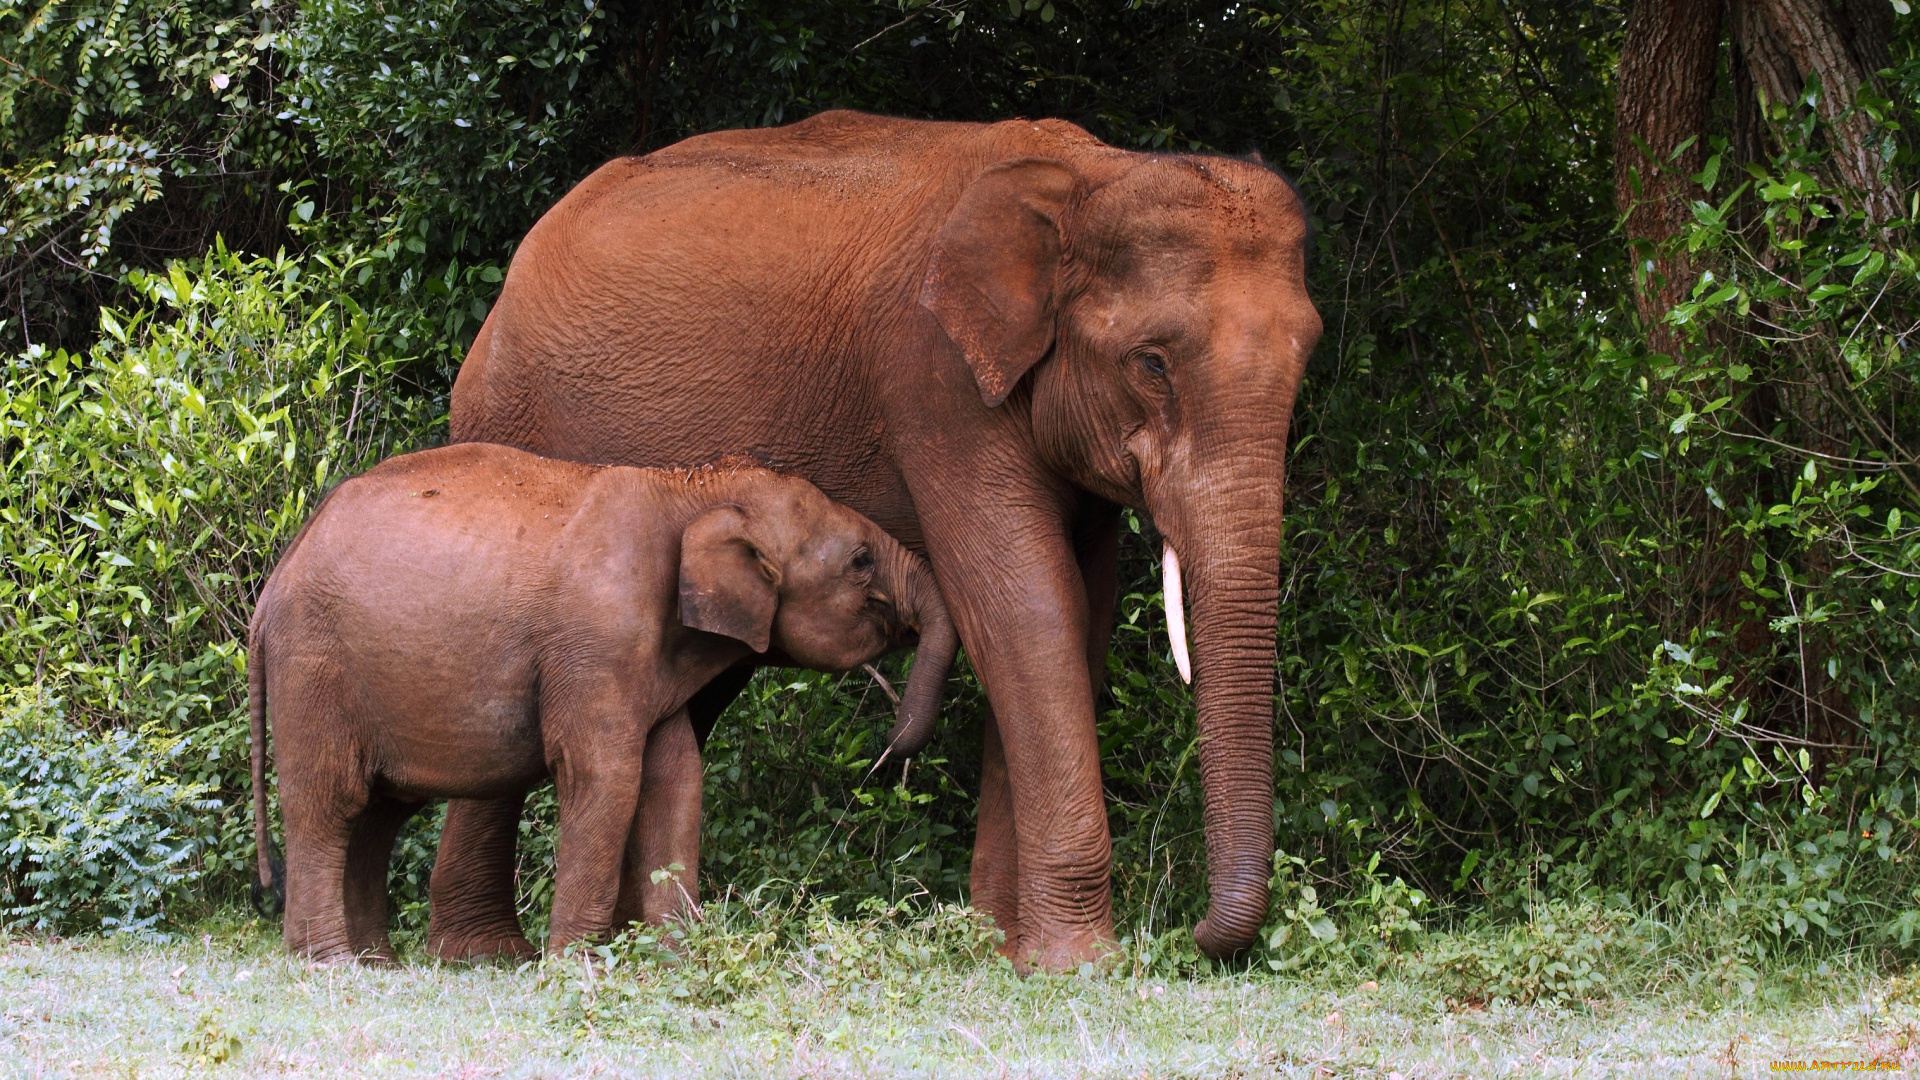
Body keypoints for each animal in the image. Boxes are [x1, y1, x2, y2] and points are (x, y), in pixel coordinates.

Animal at [247, 440, 952, 957]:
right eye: (861, 562)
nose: (886, 752)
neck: (691, 487)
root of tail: (272, 581)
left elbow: (677, 776)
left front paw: (677, 960)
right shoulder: (595, 644)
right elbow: (607, 776)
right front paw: (577, 967)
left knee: (378, 813)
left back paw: (376, 966)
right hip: (313, 666)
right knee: (329, 802)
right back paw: (331, 966)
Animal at [441, 109, 1320, 968]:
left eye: (1308, 354)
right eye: (1152, 364)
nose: (1198, 938)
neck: (1090, 170)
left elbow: (1079, 613)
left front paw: (1002, 950)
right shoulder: (933, 380)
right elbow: (1026, 609)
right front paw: (1077, 964)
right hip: (512, 418)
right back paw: (483, 953)